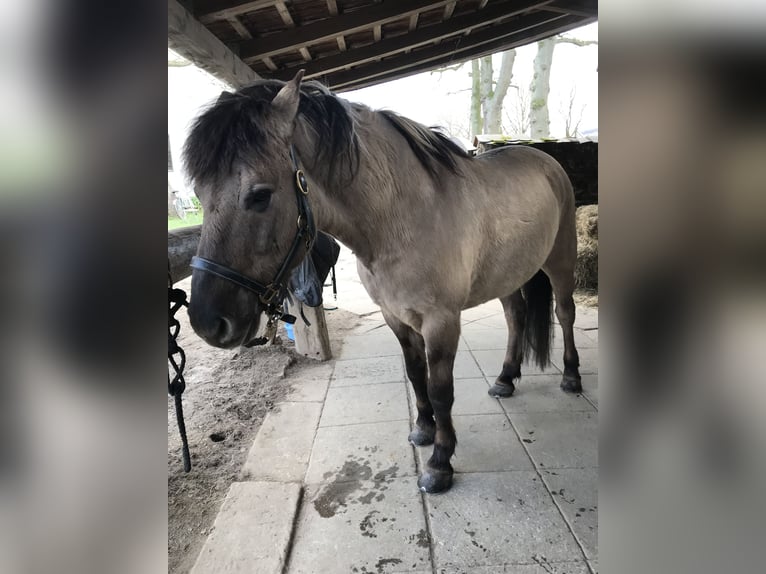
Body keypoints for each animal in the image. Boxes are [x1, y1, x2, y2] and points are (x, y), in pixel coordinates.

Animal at [186, 72, 584, 496]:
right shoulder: (395, 317)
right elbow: (415, 374)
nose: (208, 323)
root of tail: (545, 159)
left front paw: (440, 462)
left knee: (565, 313)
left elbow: (441, 390)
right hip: (508, 275)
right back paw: (506, 379)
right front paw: (423, 430)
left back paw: (571, 377)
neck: (403, 216)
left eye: (260, 195)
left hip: (560, 263)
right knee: (516, 317)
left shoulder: (441, 322)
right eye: (200, 196)